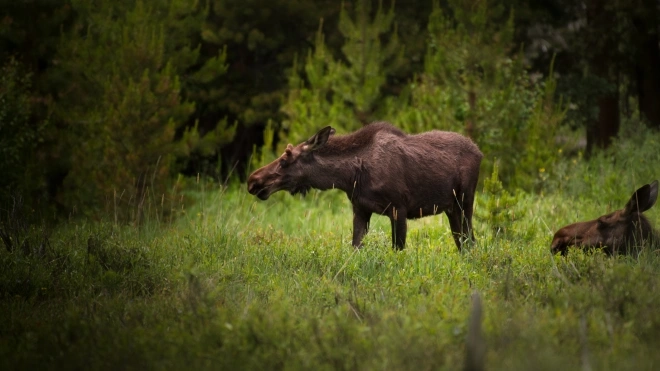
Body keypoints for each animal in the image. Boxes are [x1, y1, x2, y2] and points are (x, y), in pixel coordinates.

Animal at [245, 123, 482, 251]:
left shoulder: (399, 208)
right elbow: (355, 247)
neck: (350, 177)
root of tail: (480, 152)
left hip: (465, 201)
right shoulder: (360, 208)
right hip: (451, 208)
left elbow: (398, 249)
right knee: (462, 242)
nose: (253, 181)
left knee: (470, 241)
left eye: (286, 158)